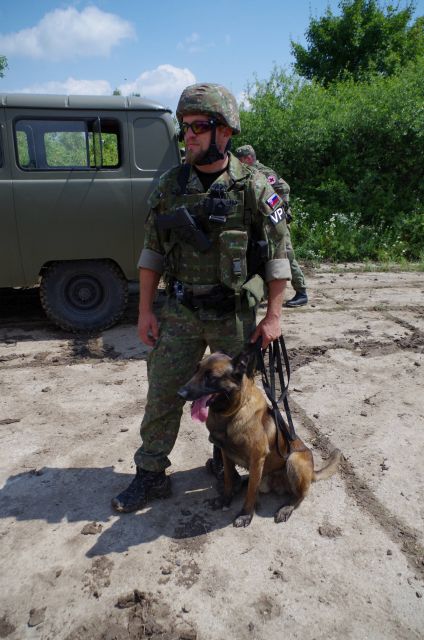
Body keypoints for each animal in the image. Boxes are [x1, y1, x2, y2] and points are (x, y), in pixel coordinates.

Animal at [178, 343, 342, 527]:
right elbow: (228, 480)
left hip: (294, 460)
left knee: (299, 495)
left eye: (210, 377)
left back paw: (286, 507)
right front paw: (226, 498)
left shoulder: (257, 459)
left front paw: (245, 515)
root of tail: (313, 472)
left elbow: (251, 492)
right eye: (196, 370)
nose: (180, 393)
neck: (230, 414)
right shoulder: (226, 455)